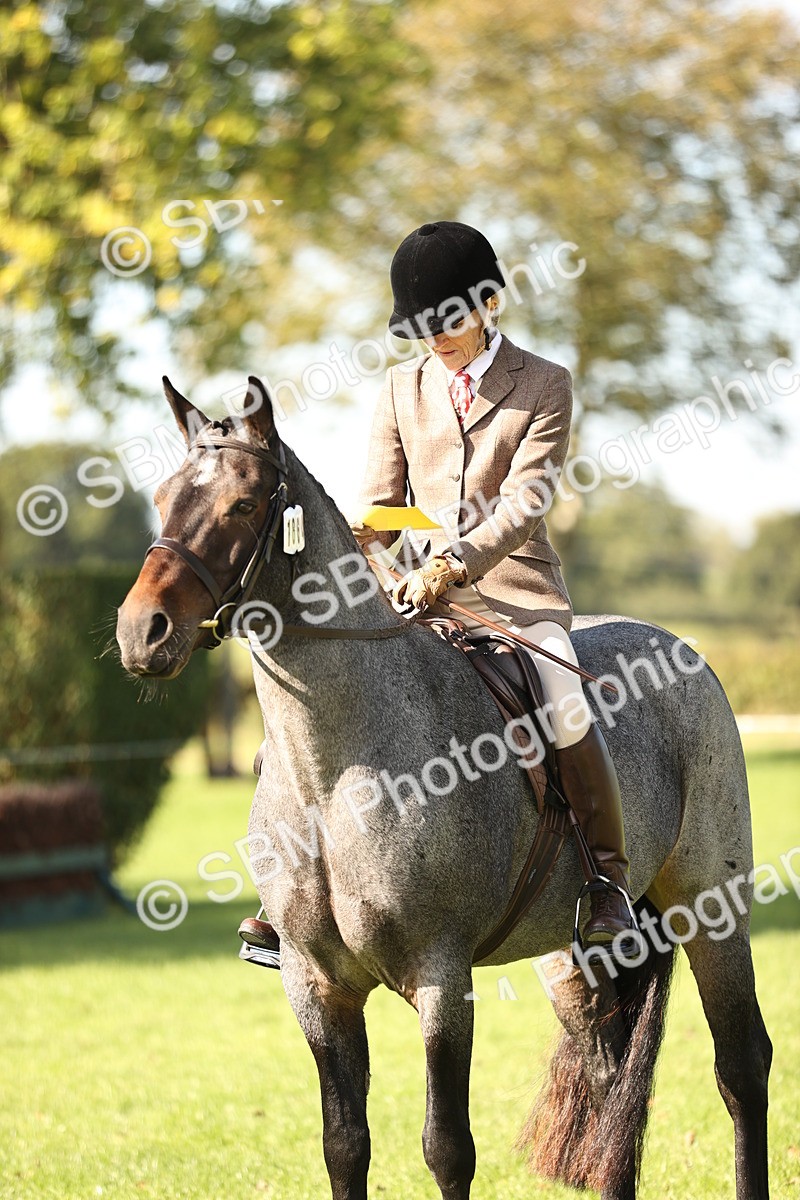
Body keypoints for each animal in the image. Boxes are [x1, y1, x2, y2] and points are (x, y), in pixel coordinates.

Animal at [115, 376, 771, 1200]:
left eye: (240, 503)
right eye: (163, 497)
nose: (142, 631)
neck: (335, 777)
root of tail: (681, 649)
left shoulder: (440, 975)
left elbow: (446, 1147)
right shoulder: (315, 986)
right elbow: (344, 1143)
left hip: (712, 910)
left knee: (741, 1067)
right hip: (573, 961)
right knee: (612, 1078)